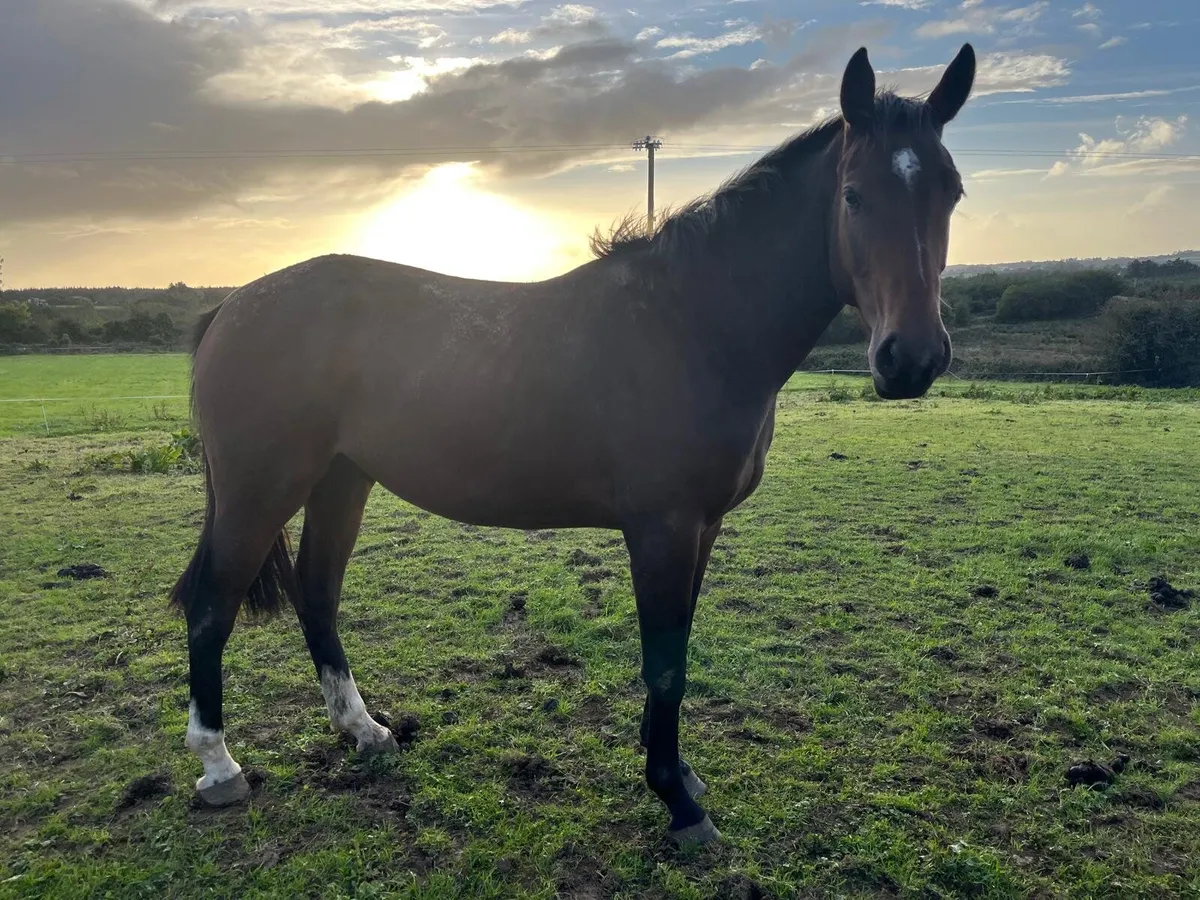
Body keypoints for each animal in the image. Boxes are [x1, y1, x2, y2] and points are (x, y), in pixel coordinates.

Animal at [170, 43, 976, 845]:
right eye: (854, 196)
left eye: (952, 191)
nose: (911, 359)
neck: (693, 324)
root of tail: (232, 307)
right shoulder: (662, 527)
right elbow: (665, 662)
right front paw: (677, 801)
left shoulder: (702, 527)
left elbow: (677, 646)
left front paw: (676, 772)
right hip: (260, 491)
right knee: (212, 605)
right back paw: (219, 768)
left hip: (342, 479)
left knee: (316, 592)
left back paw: (364, 731)